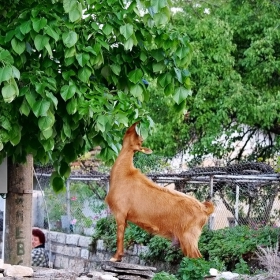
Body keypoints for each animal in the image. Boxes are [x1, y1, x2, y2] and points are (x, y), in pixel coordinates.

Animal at [105, 122, 214, 262]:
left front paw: (116, 257)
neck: (124, 173)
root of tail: (204, 209)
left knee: (198, 259)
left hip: (188, 237)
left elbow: (119, 236)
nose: (136, 124)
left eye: (139, 139)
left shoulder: (120, 214)